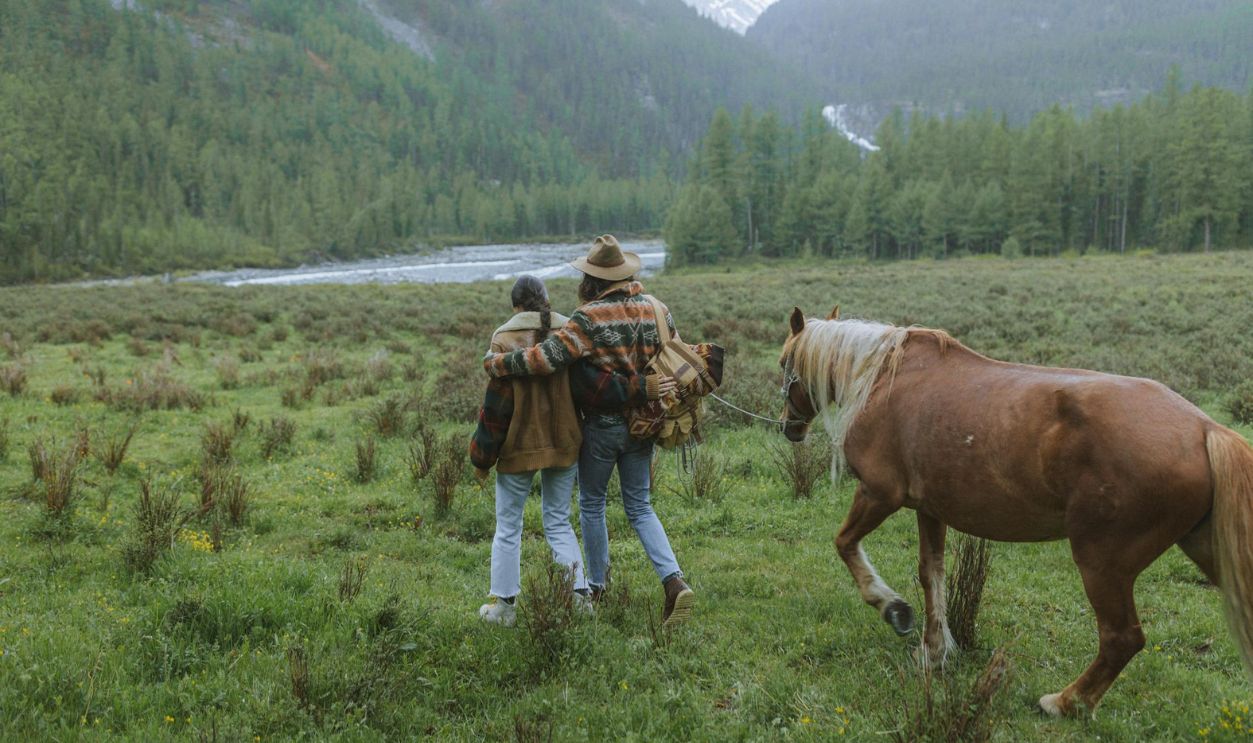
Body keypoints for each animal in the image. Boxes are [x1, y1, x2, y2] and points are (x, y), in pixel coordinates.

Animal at [778, 306, 1253, 716]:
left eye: (784, 363)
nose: (788, 428)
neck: (884, 378)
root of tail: (1204, 428)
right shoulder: (930, 509)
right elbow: (932, 575)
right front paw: (934, 651)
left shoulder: (879, 494)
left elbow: (845, 544)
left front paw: (892, 608)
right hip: (1207, 547)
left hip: (1102, 562)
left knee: (1122, 638)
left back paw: (1066, 703)